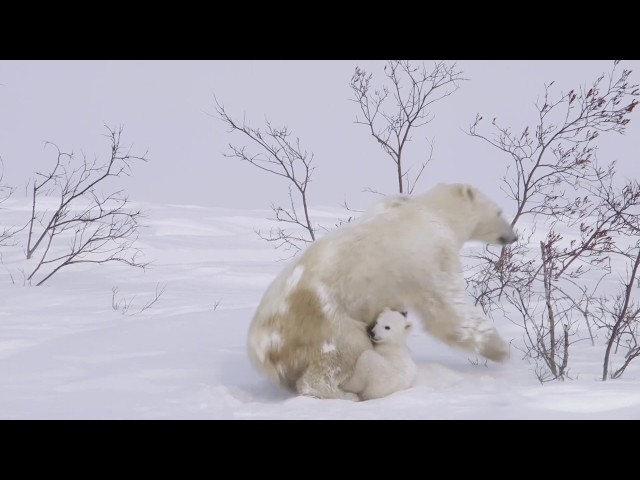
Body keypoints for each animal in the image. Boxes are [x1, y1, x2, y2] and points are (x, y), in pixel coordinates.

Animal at [248, 182, 516, 400]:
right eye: (499, 211)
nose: (513, 236)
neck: (434, 211)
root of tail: (261, 347)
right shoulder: (431, 254)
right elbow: (446, 309)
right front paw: (500, 350)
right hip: (322, 322)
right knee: (344, 350)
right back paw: (343, 393)